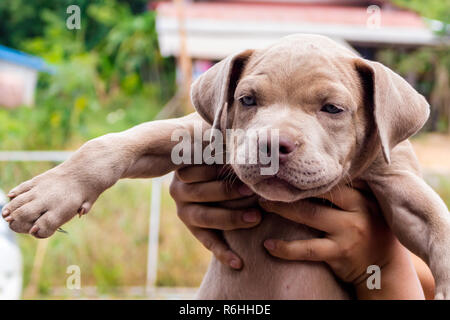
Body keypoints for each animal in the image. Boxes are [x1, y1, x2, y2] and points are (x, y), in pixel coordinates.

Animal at [1, 33, 448, 298]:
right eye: (247, 100)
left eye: (333, 109)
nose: (272, 145)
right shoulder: (194, 134)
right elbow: (111, 144)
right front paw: (48, 195)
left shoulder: (396, 176)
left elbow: (435, 220)